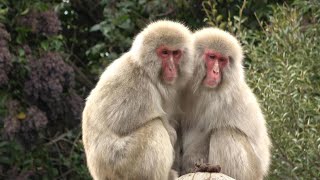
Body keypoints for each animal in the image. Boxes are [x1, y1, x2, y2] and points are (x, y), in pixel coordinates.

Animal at [82, 20, 192, 179]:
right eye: (165, 52)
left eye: (175, 53)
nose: (171, 68)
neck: (147, 72)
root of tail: (99, 174)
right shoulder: (139, 88)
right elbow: (121, 122)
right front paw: (171, 133)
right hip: (123, 164)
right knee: (155, 127)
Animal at [180, 27, 270, 180]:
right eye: (212, 57)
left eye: (222, 60)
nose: (215, 71)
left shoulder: (222, 100)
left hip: (250, 171)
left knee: (224, 133)